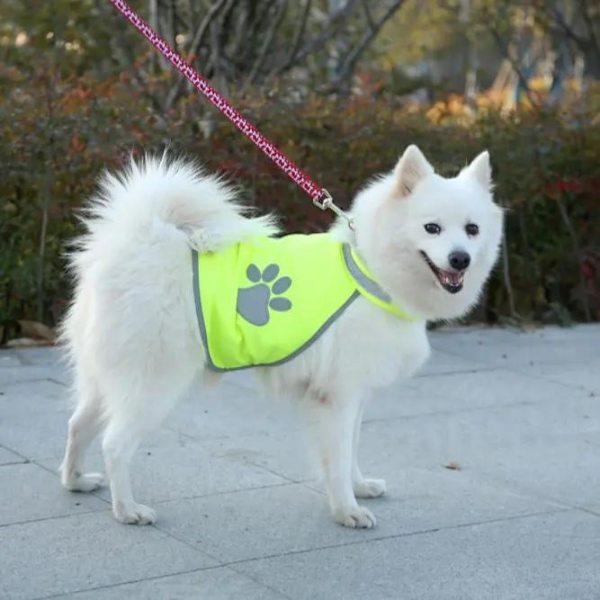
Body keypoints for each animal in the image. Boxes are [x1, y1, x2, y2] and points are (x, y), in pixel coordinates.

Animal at [59, 146, 502, 528]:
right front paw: (347, 510)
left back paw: (75, 481)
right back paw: (127, 510)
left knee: (78, 424)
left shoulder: (354, 396)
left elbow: (351, 450)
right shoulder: (337, 397)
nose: (460, 259)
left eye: (472, 230)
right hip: (155, 383)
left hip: (105, 376)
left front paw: (359, 489)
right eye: (432, 228)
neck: (369, 266)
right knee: (114, 443)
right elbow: (338, 457)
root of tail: (136, 241)